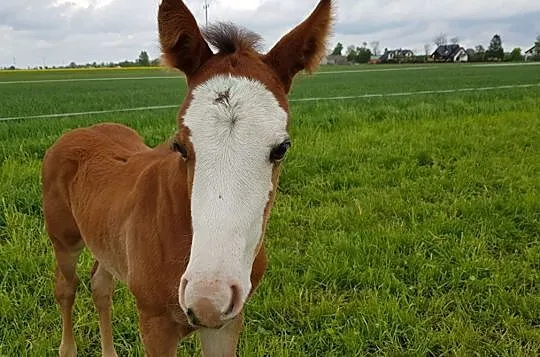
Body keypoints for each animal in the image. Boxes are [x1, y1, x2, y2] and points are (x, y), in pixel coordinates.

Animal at [41, 1, 334, 354]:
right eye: (179, 145)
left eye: (281, 148)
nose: (207, 298)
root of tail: (77, 132)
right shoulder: (155, 325)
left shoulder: (227, 323)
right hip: (64, 241)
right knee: (66, 289)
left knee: (100, 285)